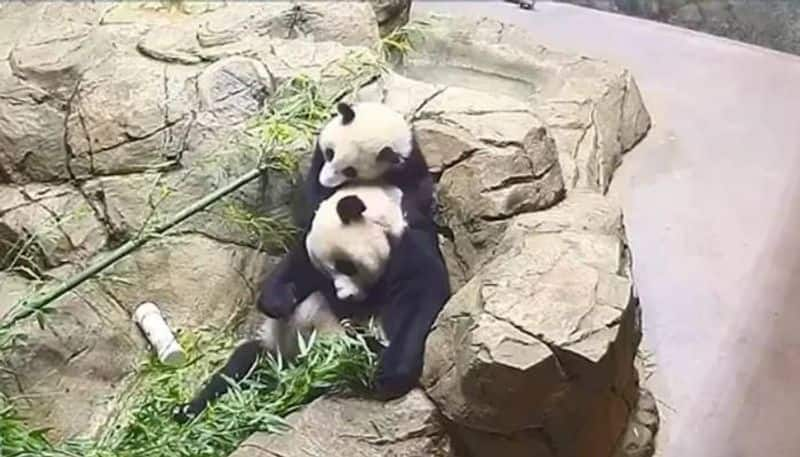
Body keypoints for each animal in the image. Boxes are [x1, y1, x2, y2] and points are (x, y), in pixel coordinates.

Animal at [175, 183, 450, 422]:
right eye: (327, 272)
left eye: (346, 265)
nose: (344, 296)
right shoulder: (306, 255)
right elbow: (293, 270)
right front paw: (281, 301)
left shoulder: (409, 246)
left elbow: (418, 297)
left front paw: (392, 372)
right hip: (273, 353)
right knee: (240, 366)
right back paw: (188, 411)